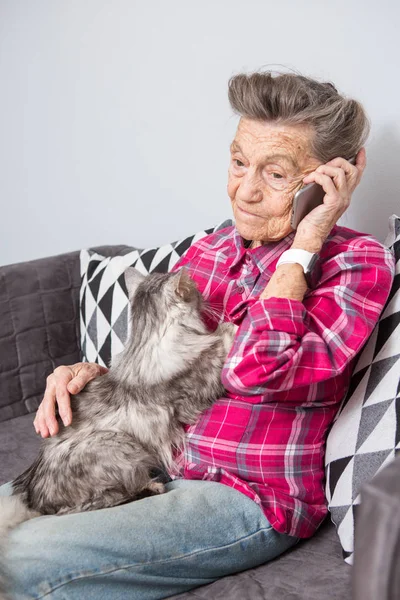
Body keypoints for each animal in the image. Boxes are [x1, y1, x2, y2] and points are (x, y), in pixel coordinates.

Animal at [0, 268, 238, 600]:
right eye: (197, 293)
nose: (207, 299)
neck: (146, 340)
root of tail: (32, 494)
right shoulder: (197, 388)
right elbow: (218, 344)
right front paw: (230, 326)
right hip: (120, 445)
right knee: (92, 504)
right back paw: (152, 487)